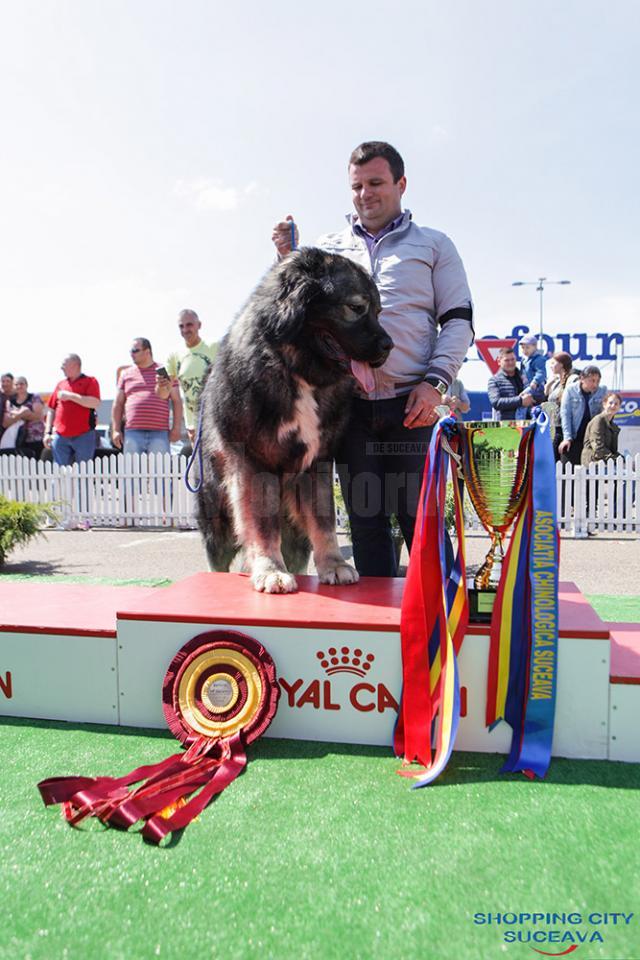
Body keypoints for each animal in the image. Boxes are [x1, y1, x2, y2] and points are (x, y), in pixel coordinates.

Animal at [198, 248, 392, 592]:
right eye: (356, 308)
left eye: (379, 311)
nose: (389, 346)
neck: (295, 370)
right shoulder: (254, 464)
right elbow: (262, 526)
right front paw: (270, 571)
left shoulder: (318, 463)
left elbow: (324, 521)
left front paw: (334, 565)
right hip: (216, 514)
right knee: (218, 558)